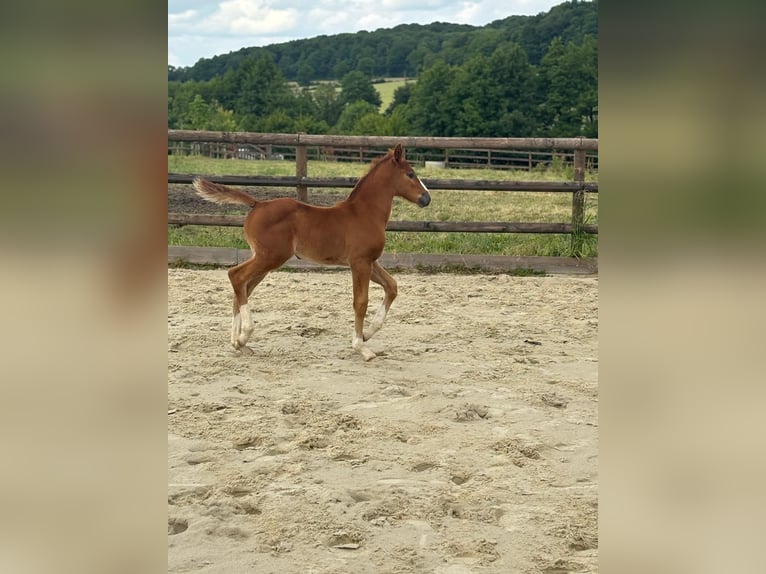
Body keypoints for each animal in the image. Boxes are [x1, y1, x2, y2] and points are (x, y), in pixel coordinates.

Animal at [192, 143, 431, 361]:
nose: (426, 198)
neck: (364, 213)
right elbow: (360, 302)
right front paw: (361, 347)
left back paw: (238, 343)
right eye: (411, 174)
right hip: (270, 257)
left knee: (242, 287)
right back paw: (244, 335)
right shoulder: (360, 262)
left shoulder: (370, 262)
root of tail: (257, 204)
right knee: (236, 275)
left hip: (264, 260)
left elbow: (392, 286)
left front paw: (367, 334)